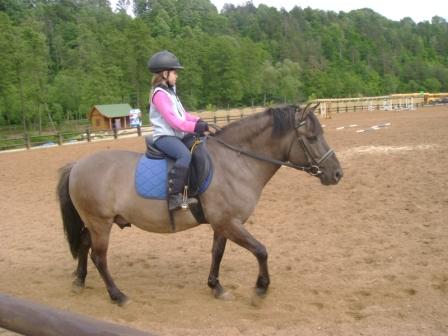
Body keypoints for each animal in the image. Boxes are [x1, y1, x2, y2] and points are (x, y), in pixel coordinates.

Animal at [57, 103, 344, 306]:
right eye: (312, 136)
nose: (337, 174)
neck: (235, 161)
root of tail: (77, 165)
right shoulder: (229, 223)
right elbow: (261, 251)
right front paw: (260, 289)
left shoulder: (223, 224)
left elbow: (217, 253)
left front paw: (216, 286)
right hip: (100, 223)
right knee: (99, 257)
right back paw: (118, 295)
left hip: (93, 223)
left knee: (84, 246)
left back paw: (78, 281)